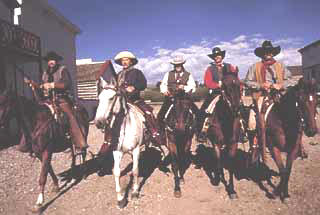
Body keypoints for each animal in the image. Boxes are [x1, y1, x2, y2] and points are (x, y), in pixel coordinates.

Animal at [94, 76, 144, 208]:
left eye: (111, 98)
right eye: (99, 98)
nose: (98, 122)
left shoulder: (136, 149)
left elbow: (135, 170)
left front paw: (135, 192)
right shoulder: (117, 152)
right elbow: (116, 172)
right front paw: (120, 198)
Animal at [204, 72, 241, 200]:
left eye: (240, 86)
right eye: (225, 87)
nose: (236, 109)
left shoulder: (233, 144)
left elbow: (230, 165)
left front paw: (232, 190)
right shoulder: (216, 143)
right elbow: (218, 161)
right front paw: (216, 179)